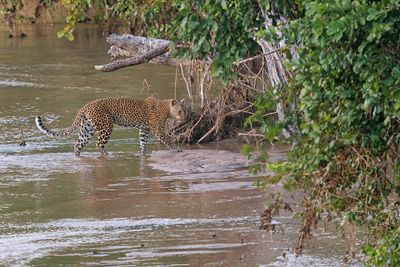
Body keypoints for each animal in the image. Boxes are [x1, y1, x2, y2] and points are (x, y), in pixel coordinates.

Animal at [35, 96, 187, 156]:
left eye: (185, 110)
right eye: (180, 111)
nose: (184, 118)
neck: (166, 109)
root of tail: (85, 106)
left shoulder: (143, 129)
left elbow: (143, 142)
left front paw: (143, 153)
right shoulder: (157, 129)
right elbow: (168, 139)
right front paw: (177, 149)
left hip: (87, 129)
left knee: (78, 144)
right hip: (106, 125)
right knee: (99, 144)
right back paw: (107, 155)